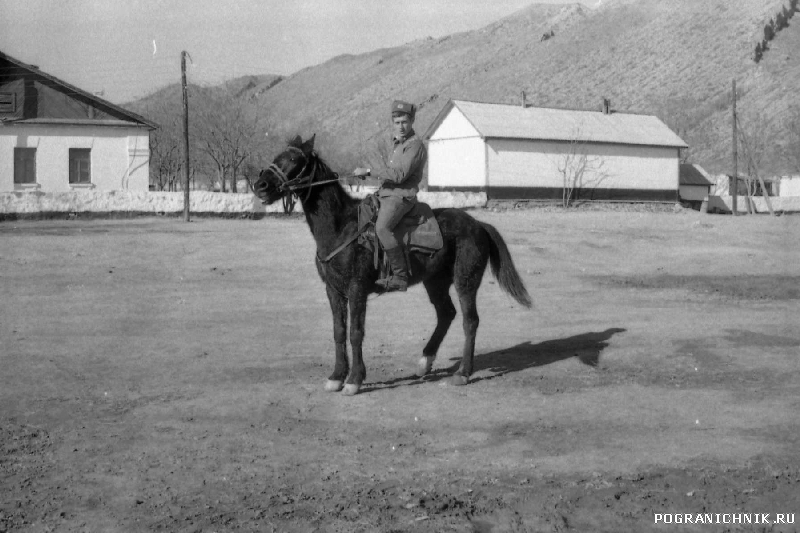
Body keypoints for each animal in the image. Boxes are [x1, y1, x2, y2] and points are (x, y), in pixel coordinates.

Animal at [255, 136, 532, 394]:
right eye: (278, 155)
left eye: (294, 159)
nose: (260, 185)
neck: (340, 228)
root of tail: (478, 225)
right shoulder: (333, 290)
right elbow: (339, 331)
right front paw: (336, 376)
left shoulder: (357, 289)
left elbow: (355, 333)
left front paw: (354, 380)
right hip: (435, 282)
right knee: (446, 314)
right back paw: (424, 361)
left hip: (466, 282)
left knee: (470, 321)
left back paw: (462, 373)